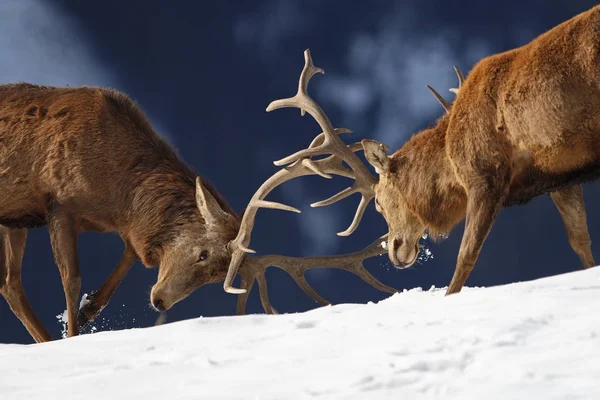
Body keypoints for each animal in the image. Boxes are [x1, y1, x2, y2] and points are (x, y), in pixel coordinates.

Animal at [0, 83, 394, 342]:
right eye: (203, 253)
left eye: (215, 277)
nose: (160, 300)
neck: (116, 191)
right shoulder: (58, 204)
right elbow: (72, 279)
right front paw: (73, 332)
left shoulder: (123, 227)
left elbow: (131, 255)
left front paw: (87, 310)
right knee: (13, 282)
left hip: (12, 219)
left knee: (10, 283)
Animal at [223, 2, 600, 296]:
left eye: (378, 201)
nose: (394, 249)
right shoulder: (559, 175)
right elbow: (580, 242)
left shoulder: (484, 177)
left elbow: (464, 260)